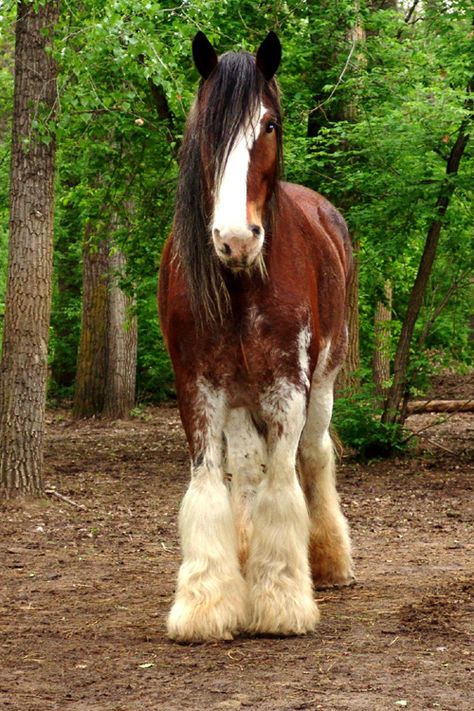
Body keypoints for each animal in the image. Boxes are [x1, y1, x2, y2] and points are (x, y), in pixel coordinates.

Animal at [160, 32, 356, 644]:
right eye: (209, 128)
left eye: (269, 125)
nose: (235, 238)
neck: (242, 281)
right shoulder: (198, 388)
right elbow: (209, 487)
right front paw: (207, 601)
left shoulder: (286, 387)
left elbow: (282, 486)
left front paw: (282, 597)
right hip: (239, 398)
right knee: (246, 470)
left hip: (323, 382)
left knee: (313, 457)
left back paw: (329, 560)